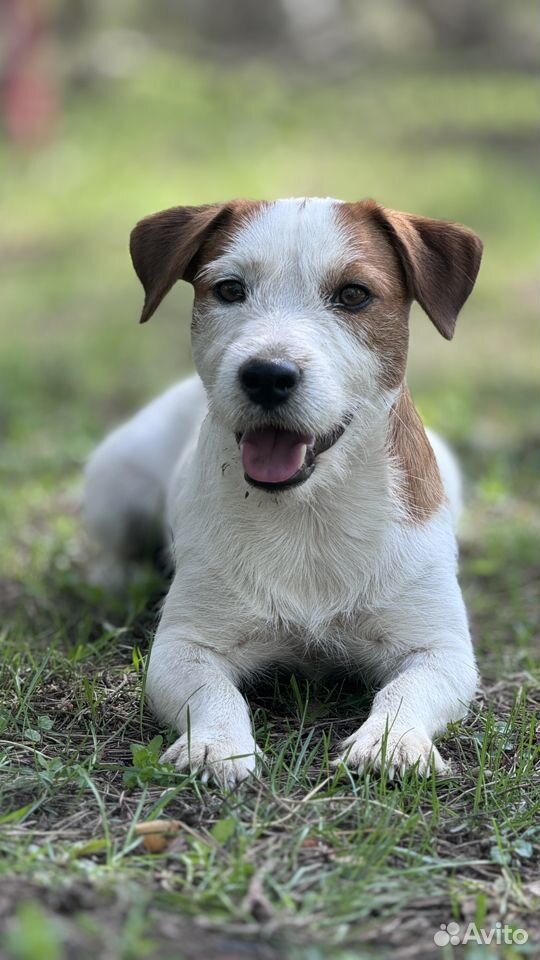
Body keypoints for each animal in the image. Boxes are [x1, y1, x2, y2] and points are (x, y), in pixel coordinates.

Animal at [83, 197, 480, 788]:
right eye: (229, 289)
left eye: (354, 294)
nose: (267, 375)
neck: (306, 510)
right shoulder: (184, 647)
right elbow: (214, 693)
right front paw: (217, 747)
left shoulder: (440, 649)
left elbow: (407, 688)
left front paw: (391, 742)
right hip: (116, 479)